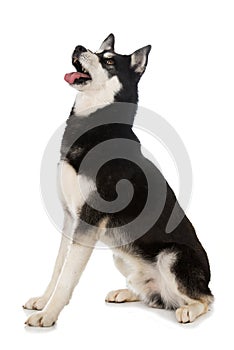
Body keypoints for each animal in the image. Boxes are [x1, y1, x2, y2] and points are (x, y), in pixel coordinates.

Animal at [24, 34, 214, 326]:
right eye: (96, 50)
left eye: (109, 61)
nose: (79, 47)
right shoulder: (70, 217)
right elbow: (58, 266)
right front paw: (43, 301)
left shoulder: (89, 220)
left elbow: (68, 275)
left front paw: (49, 314)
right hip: (120, 255)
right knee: (153, 295)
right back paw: (128, 292)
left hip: (172, 257)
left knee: (205, 299)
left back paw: (189, 310)